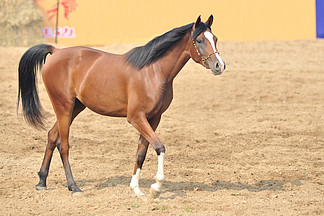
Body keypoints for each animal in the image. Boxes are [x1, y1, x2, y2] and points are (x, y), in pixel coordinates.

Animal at [17, 14, 225, 197]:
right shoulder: (136, 118)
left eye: (214, 38)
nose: (219, 65)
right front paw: (156, 187)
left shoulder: (153, 118)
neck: (153, 71)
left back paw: (42, 181)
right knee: (64, 145)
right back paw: (73, 186)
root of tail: (56, 51)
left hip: (75, 107)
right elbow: (159, 147)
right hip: (63, 106)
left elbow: (141, 153)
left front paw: (136, 189)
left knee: (52, 136)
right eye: (199, 40)